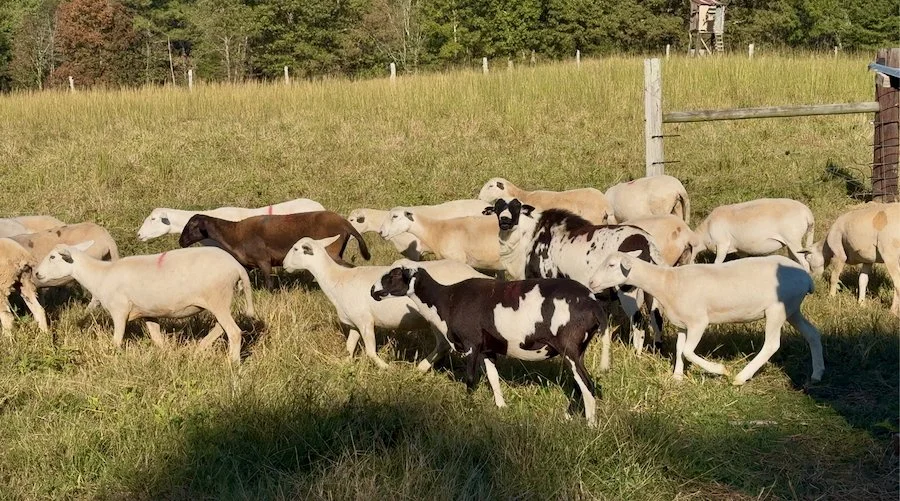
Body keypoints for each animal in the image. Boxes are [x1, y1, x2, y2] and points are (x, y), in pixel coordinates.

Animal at [34, 242, 255, 362]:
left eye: (53, 257)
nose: (36, 273)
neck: (101, 275)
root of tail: (236, 266)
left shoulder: (119, 310)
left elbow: (117, 339)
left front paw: (113, 355)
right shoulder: (148, 313)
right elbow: (156, 337)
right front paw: (165, 353)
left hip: (218, 297)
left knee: (233, 331)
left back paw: (232, 362)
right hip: (219, 301)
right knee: (221, 327)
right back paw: (200, 348)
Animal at [179, 211, 370, 290]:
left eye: (192, 226)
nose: (180, 242)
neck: (233, 234)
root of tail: (345, 224)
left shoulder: (263, 260)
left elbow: (269, 284)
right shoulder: (247, 264)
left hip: (331, 251)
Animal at [283, 236, 489, 370]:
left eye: (296, 249)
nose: (284, 264)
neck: (337, 279)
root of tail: (477, 275)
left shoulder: (365, 321)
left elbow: (370, 352)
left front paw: (386, 368)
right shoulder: (354, 323)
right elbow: (349, 347)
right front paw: (343, 364)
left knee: (444, 345)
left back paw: (420, 369)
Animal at [371, 264, 608, 425]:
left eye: (393, 275)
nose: (372, 291)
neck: (445, 300)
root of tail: (593, 303)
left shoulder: (471, 344)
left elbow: (470, 379)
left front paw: (468, 409)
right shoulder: (488, 349)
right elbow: (494, 379)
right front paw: (501, 407)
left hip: (570, 348)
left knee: (587, 385)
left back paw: (590, 425)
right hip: (577, 350)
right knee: (579, 383)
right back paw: (568, 416)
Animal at [589, 252, 825, 385]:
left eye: (611, 265)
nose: (591, 282)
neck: (667, 283)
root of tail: (806, 278)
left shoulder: (698, 322)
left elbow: (687, 351)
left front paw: (719, 370)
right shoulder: (683, 324)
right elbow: (679, 348)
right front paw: (677, 377)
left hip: (777, 310)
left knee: (772, 344)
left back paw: (740, 378)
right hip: (792, 309)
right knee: (813, 334)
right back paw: (817, 373)